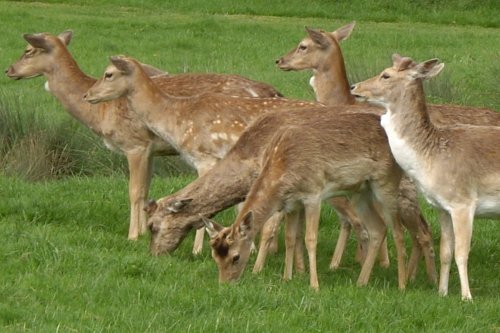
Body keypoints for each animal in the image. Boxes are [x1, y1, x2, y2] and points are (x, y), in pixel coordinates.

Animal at [4, 30, 282, 244]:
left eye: (28, 50)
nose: (8, 70)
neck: (100, 114)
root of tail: (273, 91)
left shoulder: (134, 144)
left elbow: (134, 190)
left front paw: (133, 236)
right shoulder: (151, 150)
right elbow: (146, 189)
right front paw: (143, 230)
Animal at [352, 53, 500, 300]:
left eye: (386, 75)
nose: (355, 87)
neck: (431, 159)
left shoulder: (463, 202)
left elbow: (462, 252)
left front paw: (466, 297)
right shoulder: (442, 207)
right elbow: (446, 251)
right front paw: (442, 292)